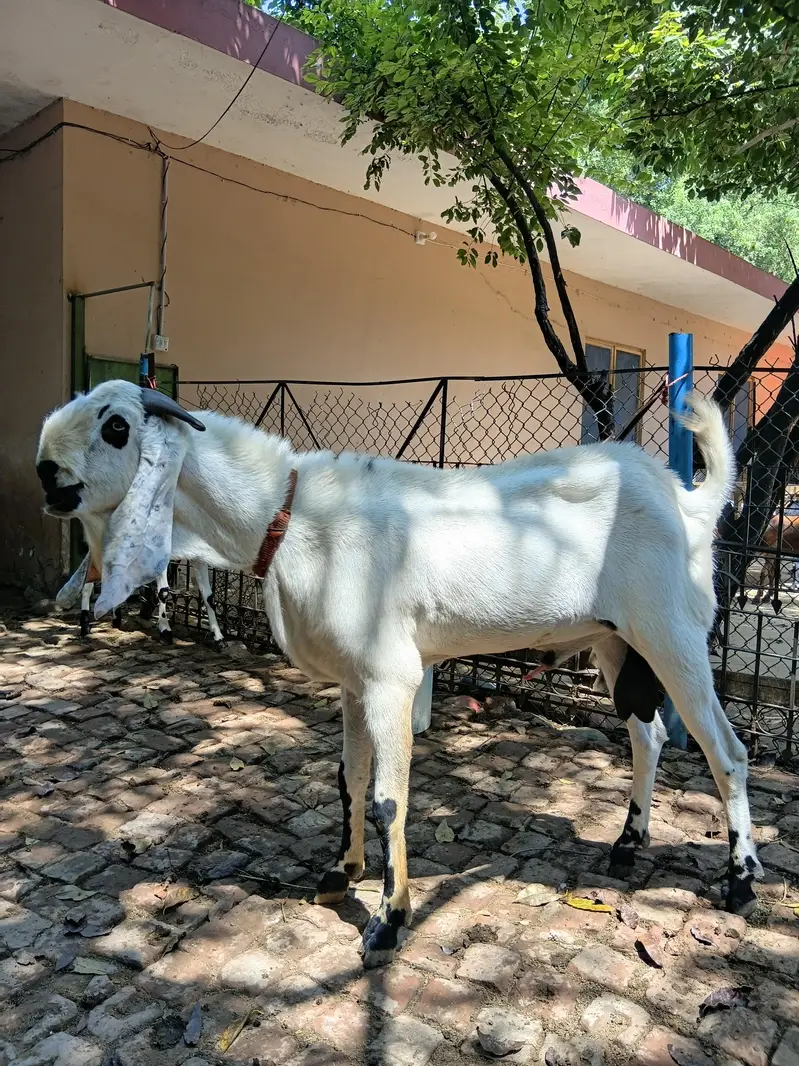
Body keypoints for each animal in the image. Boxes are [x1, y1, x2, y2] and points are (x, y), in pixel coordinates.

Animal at [56, 551, 227, 647]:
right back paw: (85, 625)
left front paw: (219, 639)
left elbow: (208, 595)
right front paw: (165, 632)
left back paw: (116, 618)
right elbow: (163, 591)